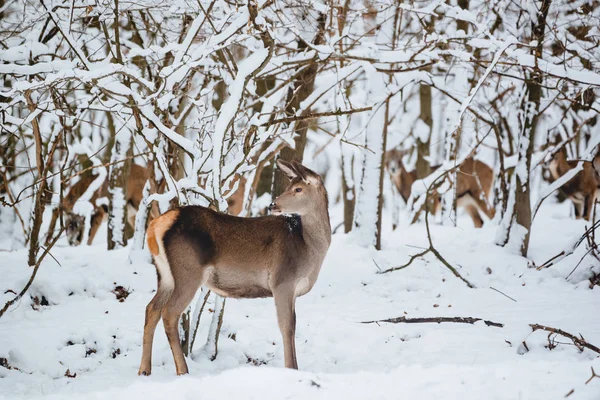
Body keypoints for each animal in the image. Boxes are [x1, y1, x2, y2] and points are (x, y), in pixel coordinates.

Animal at [138, 159, 330, 376]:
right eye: (291, 186)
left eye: (298, 188)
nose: (273, 204)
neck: (308, 247)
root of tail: (156, 225)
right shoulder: (282, 281)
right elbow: (287, 326)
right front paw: (292, 368)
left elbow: (293, 325)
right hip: (188, 271)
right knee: (169, 313)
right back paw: (183, 370)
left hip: (165, 275)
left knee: (151, 308)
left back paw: (144, 369)